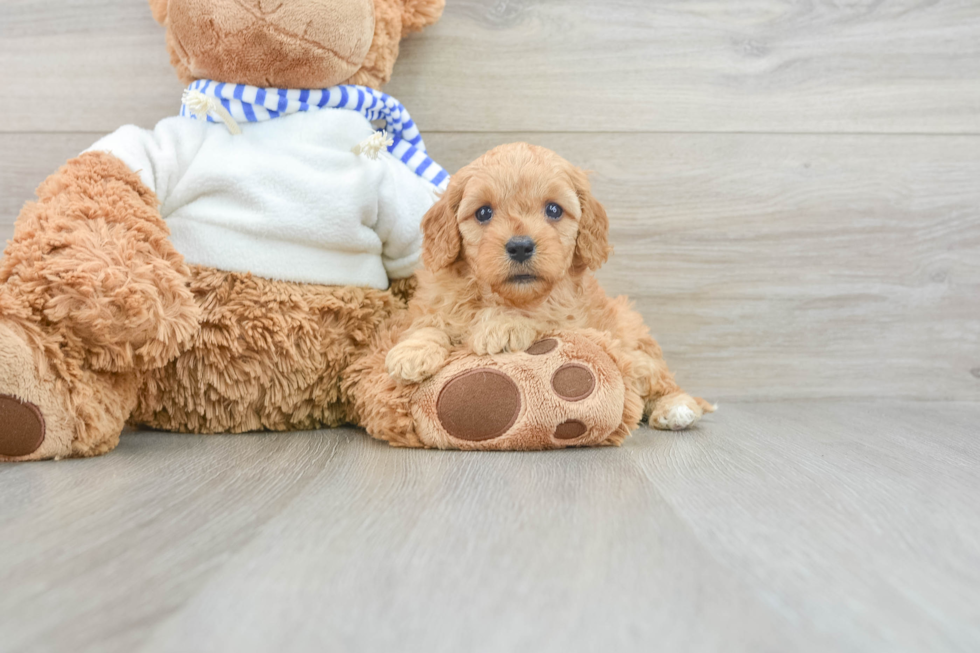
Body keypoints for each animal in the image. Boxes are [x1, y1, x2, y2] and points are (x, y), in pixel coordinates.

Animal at [386, 140, 716, 430]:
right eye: (483, 212)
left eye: (554, 210)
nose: (520, 246)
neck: (501, 296)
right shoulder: (436, 301)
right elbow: (428, 324)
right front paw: (412, 352)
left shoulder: (570, 317)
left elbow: (539, 314)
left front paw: (502, 326)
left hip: (635, 351)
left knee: (661, 382)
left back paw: (676, 408)